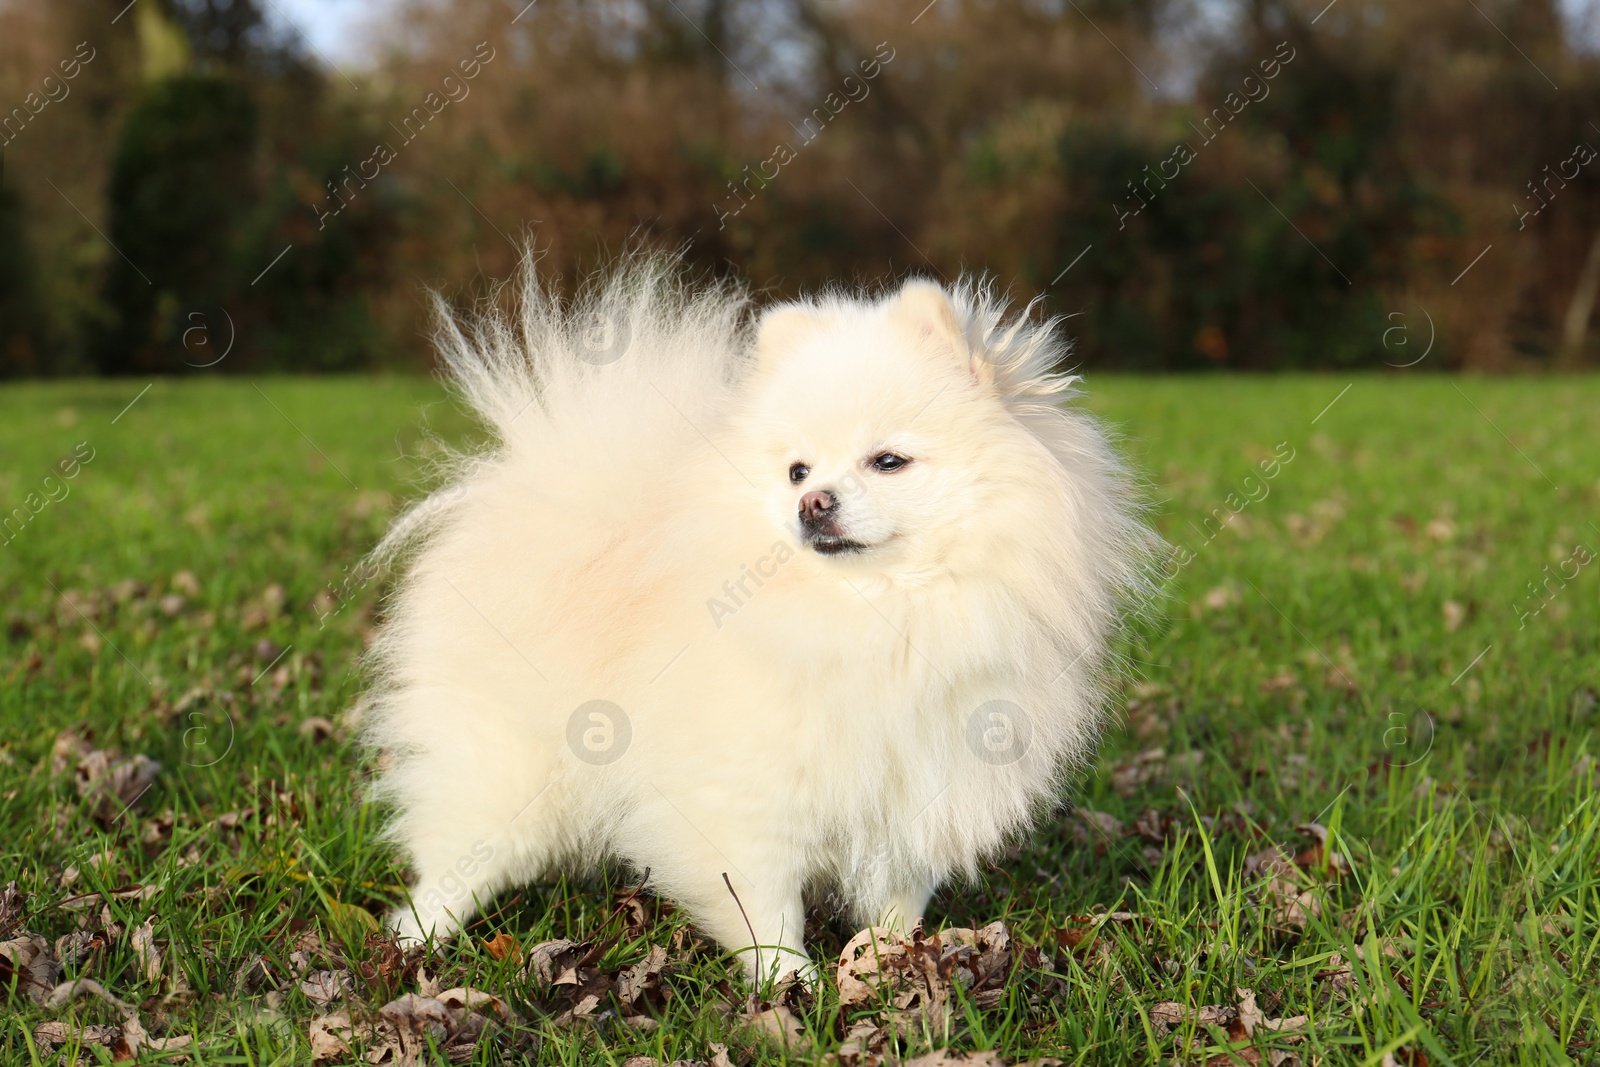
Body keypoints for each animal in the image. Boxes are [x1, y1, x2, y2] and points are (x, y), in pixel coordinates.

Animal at [366, 254, 1158, 979]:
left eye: (889, 461)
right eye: (798, 470)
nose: (812, 503)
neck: (879, 615)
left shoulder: (925, 776)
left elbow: (901, 894)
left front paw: (890, 963)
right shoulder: (746, 795)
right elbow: (768, 908)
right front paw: (790, 988)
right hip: (512, 775)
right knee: (457, 862)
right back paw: (415, 942)